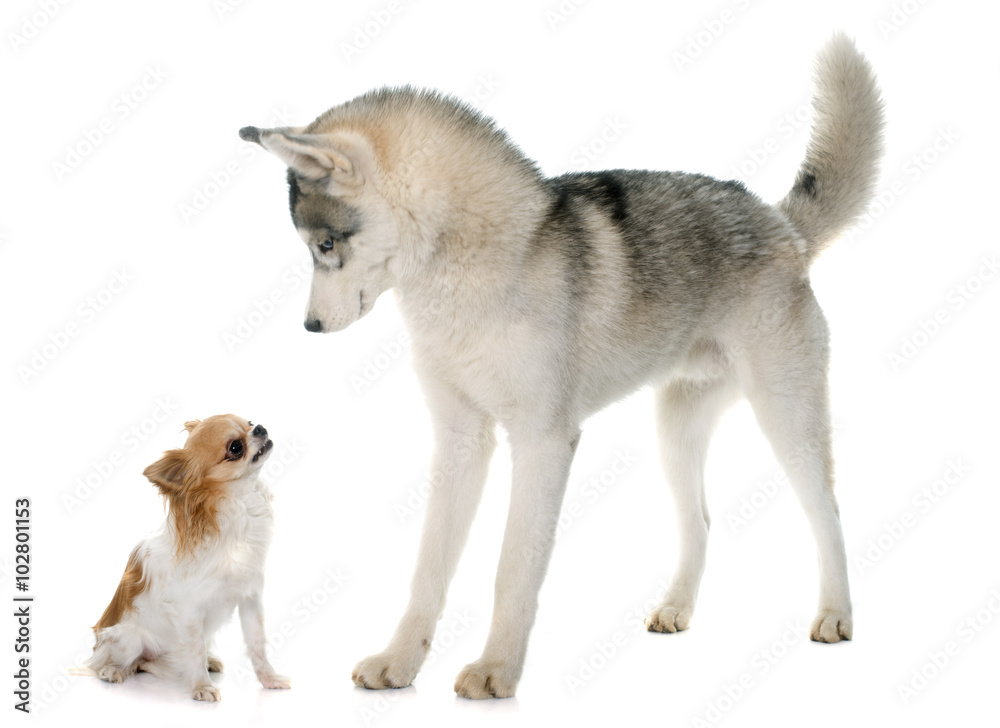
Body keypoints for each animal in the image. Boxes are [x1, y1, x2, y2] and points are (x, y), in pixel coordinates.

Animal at [86, 418, 292, 704]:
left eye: (249, 422)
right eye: (235, 447)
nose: (260, 427)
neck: (240, 506)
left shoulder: (250, 600)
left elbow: (257, 645)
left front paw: (269, 679)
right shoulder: (188, 612)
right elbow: (194, 650)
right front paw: (201, 687)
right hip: (128, 638)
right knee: (114, 663)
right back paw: (112, 670)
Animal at [240, 34, 884, 700]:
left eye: (325, 245)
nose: (310, 327)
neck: (472, 268)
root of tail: (780, 224)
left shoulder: (543, 442)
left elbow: (513, 568)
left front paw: (497, 669)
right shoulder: (461, 441)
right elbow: (428, 570)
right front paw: (401, 662)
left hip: (786, 419)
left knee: (828, 513)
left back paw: (836, 614)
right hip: (675, 433)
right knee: (702, 521)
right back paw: (677, 608)